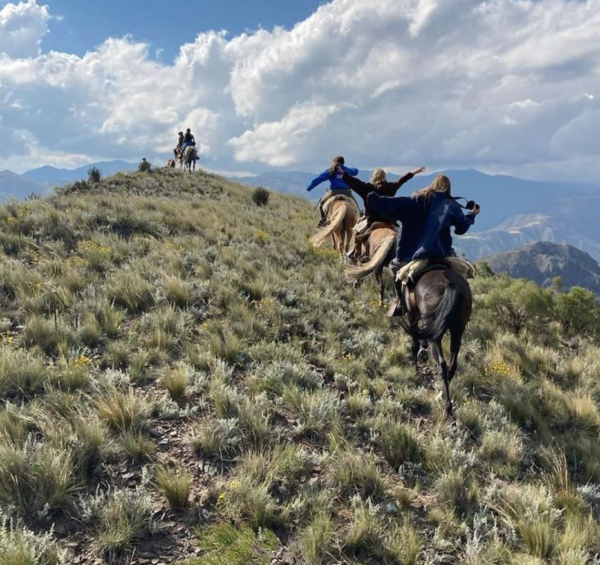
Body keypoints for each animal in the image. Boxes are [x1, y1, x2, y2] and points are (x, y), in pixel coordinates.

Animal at [400, 262, 472, 416]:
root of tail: (450, 284)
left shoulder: (412, 314)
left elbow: (415, 343)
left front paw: (415, 369)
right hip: (458, 330)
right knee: (452, 364)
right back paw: (443, 396)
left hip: (436, 336)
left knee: (442, 364)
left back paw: (447, 405)